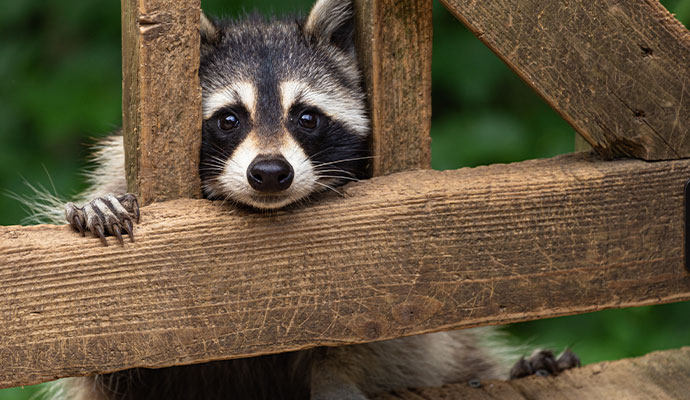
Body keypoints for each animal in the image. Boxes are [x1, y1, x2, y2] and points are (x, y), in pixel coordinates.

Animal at [48, 0, 579, 399]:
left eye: (306, 117)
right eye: (228, 119)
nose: (269, 173)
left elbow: (380, 342)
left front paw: (335, 375)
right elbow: (117, 360)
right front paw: (99, 207)